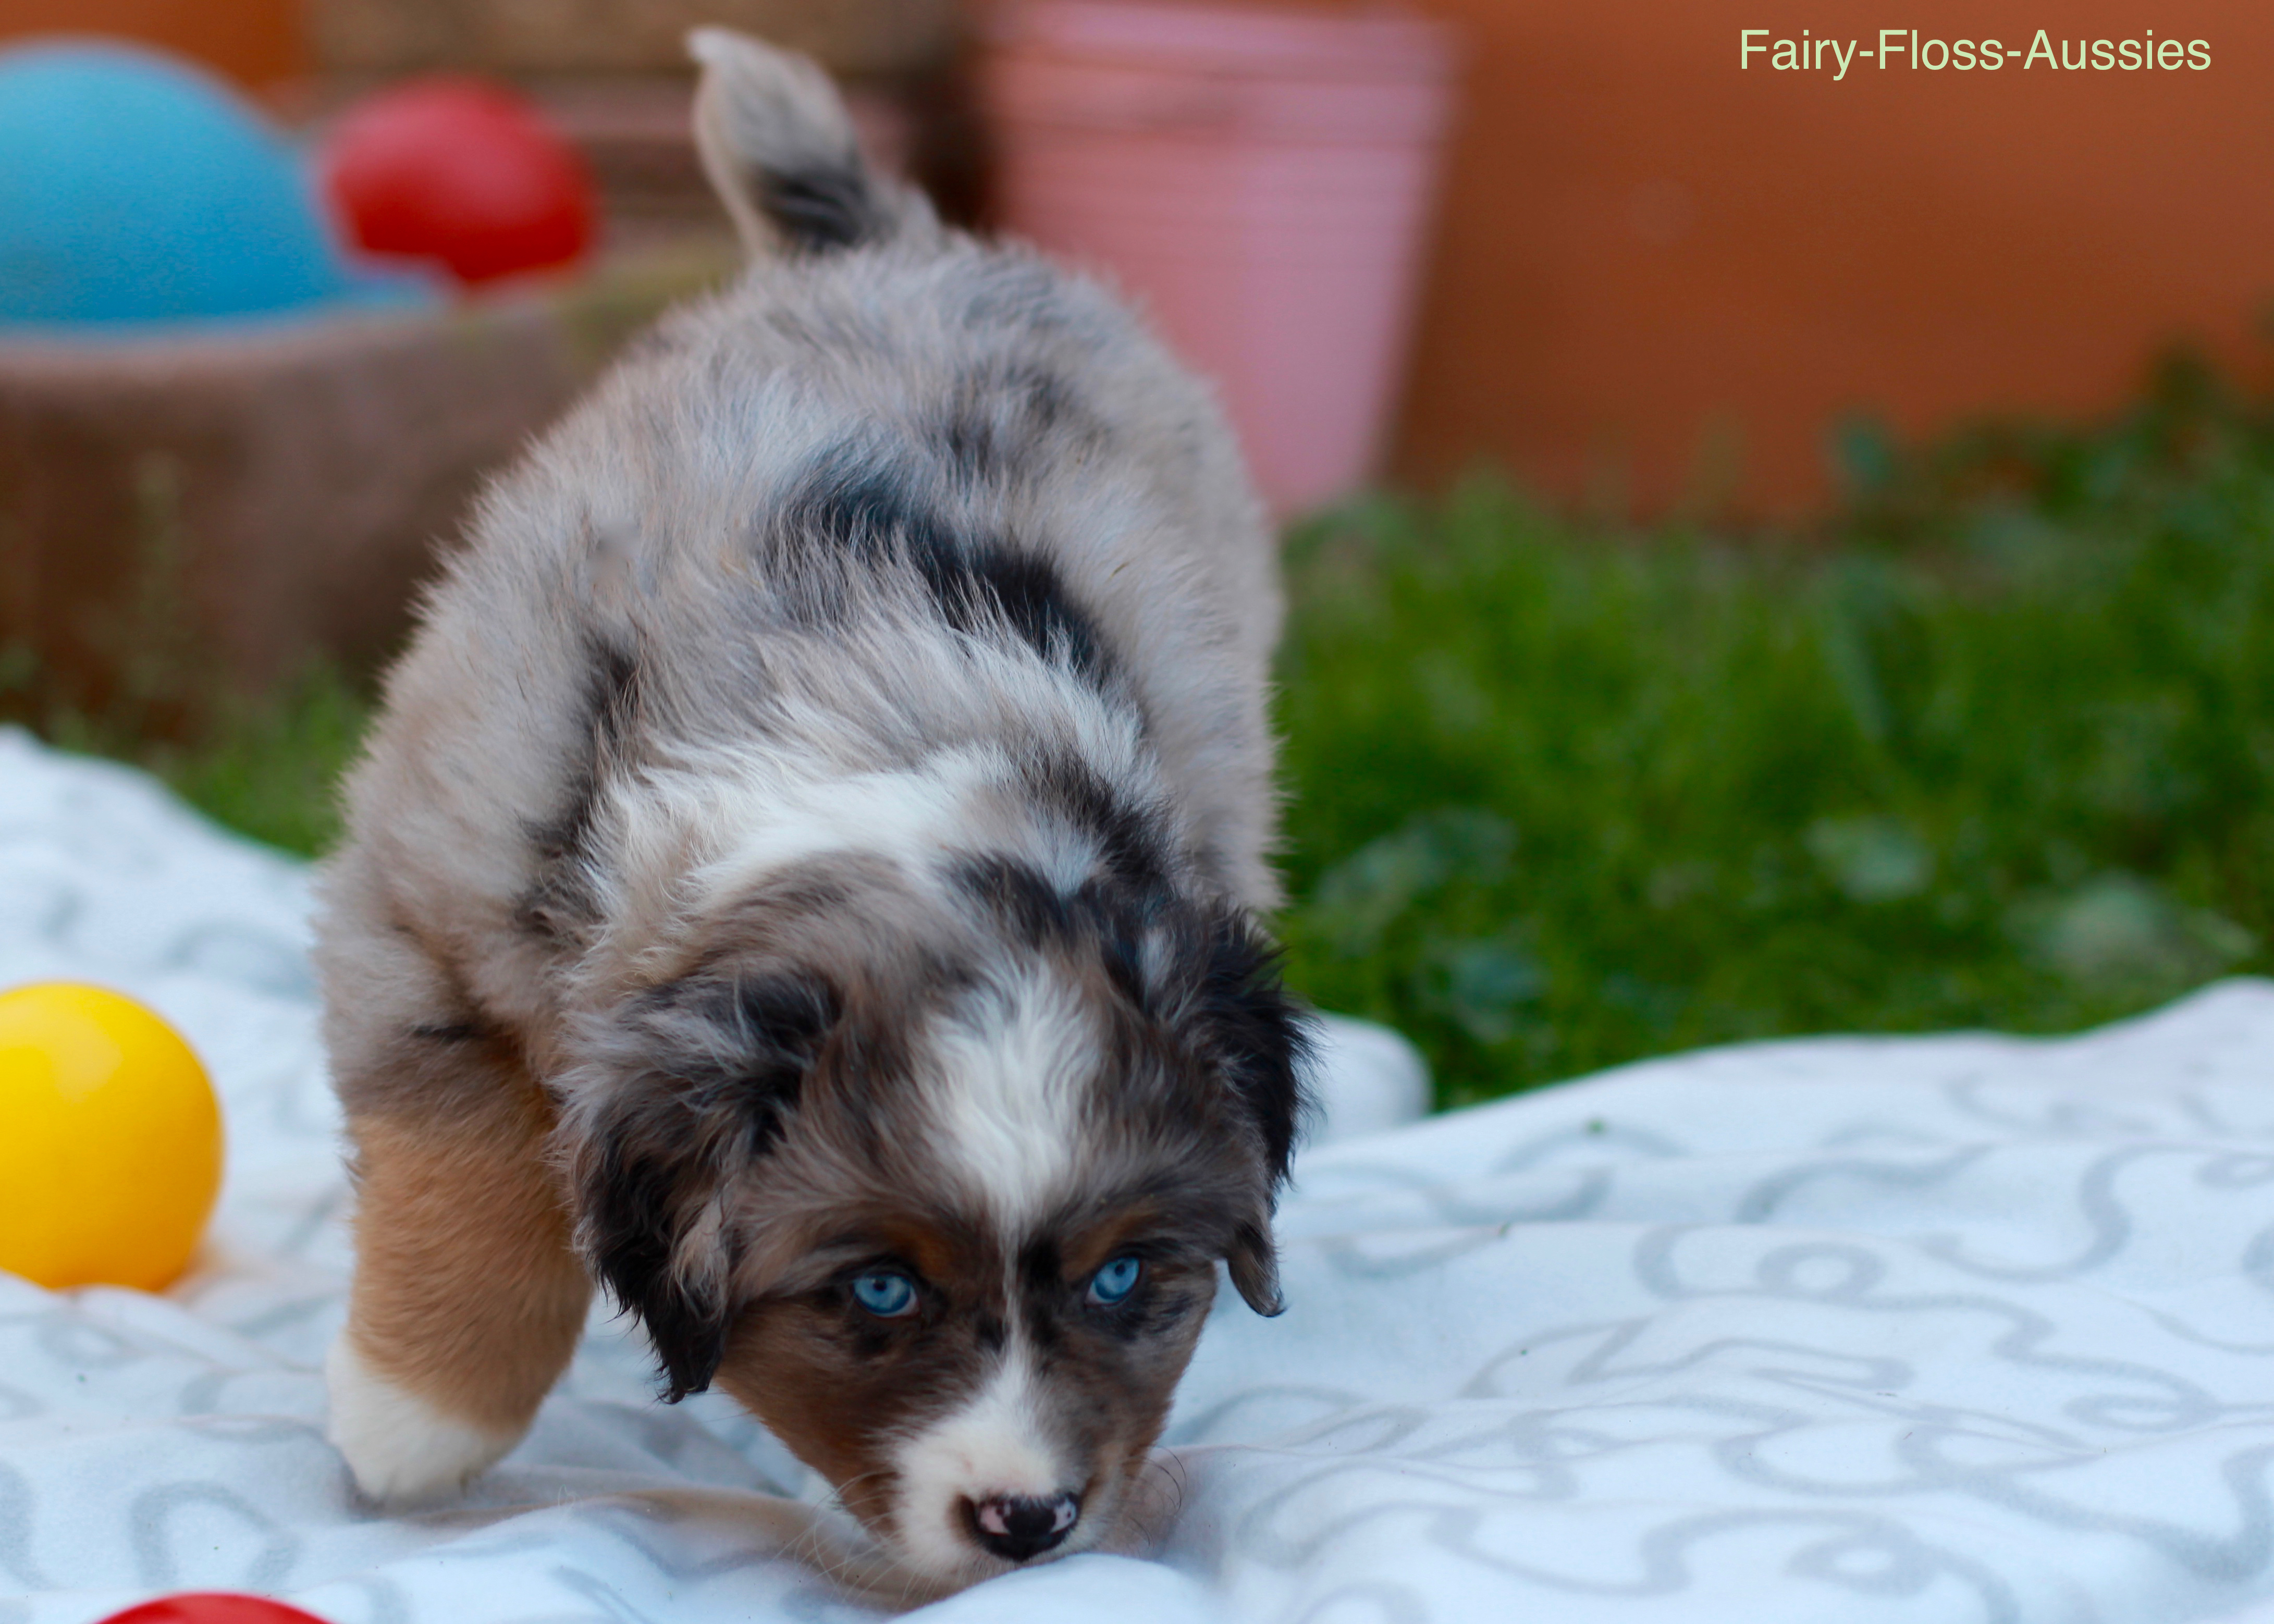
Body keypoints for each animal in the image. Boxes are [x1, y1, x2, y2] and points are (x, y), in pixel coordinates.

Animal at [321, 25, 1319, 1592]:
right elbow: (467, 1164)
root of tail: (901, 247)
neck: (869, 742)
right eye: (877, 1289)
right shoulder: (418, 904)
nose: (1031, 1523)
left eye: (1123, 1275)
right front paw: (412, 1420)